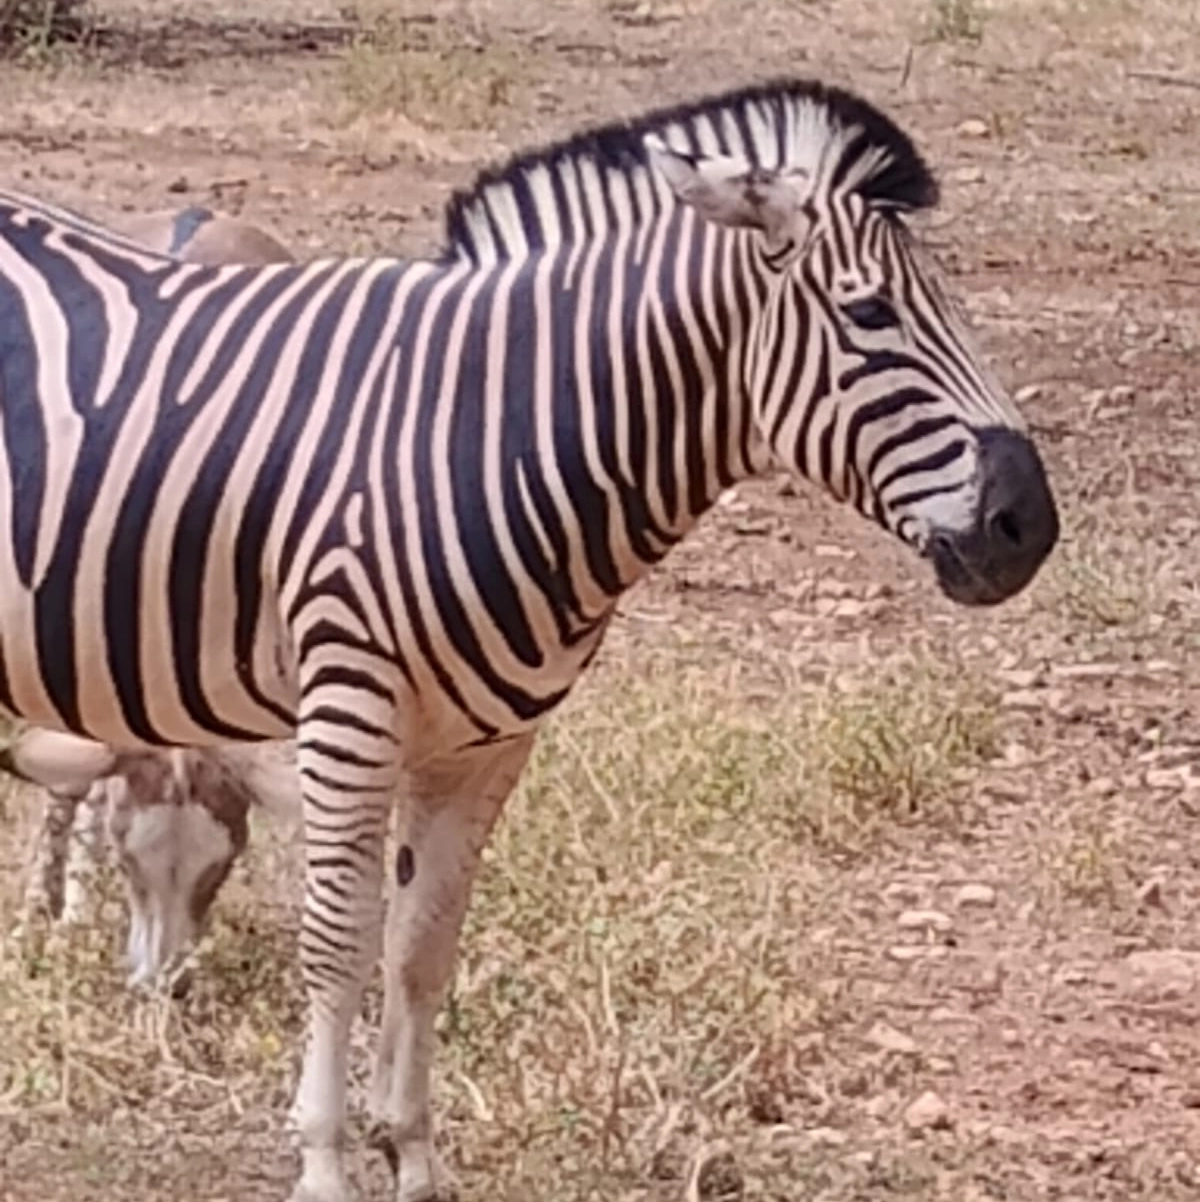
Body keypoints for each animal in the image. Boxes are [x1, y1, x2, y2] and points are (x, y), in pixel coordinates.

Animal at [0, 77, 1058, 1202]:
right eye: (869, 313)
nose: (1030, 527)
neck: (491, 435)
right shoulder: (348, 707)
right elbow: (339, 942)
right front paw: (326, 1162)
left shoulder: (487, 743)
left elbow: (423, 944)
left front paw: (413, 1157)